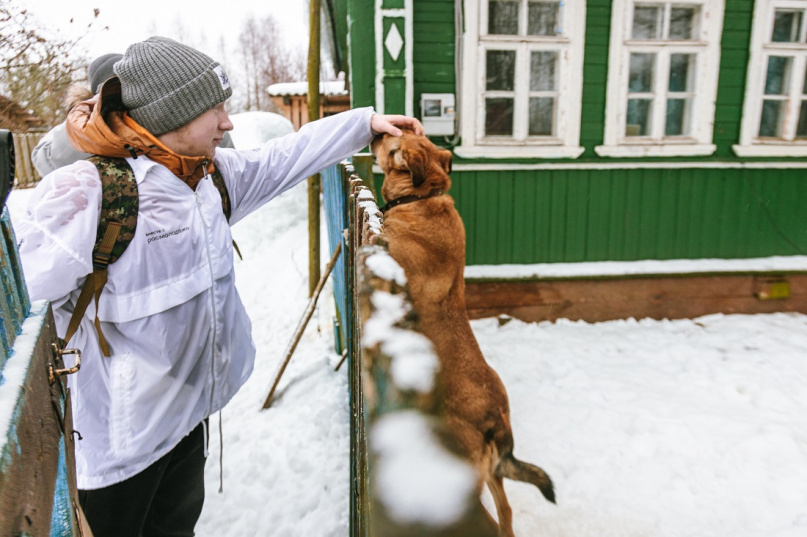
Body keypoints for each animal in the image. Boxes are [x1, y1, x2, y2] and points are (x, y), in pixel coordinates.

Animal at [372, 127, 556, 532]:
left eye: (390, 142)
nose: (375, 130)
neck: (423, 196)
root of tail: (497, 418)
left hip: (466, 473)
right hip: (490, 472)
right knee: (506, 512)